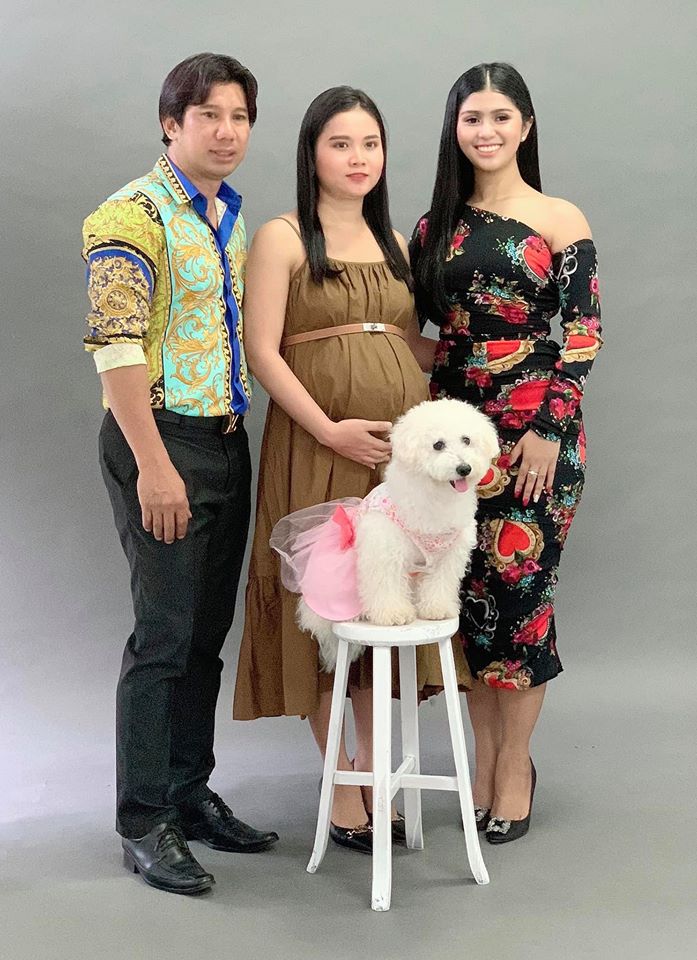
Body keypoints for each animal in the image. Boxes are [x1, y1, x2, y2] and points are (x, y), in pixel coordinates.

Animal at [275, 398, 499, 671]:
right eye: (438, 445)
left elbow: (439, 584)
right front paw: (393, 614)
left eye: (467, 440)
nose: (464, 468)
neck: (436, 494)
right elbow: (386, 584)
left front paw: (436, 608)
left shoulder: (448, 556)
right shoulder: (385, 550)